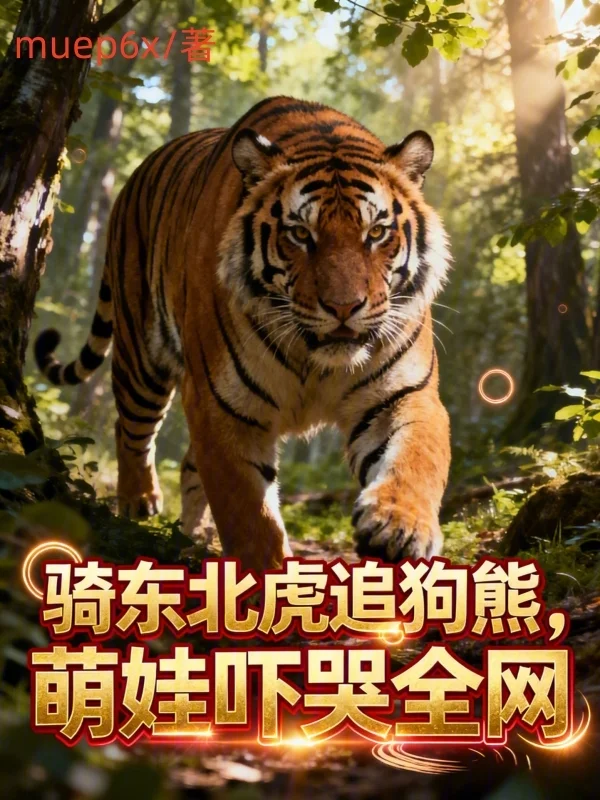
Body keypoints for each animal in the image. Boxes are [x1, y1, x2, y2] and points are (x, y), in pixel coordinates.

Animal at [35, 96, 451, 572]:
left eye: (376, 232)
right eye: (300, 234)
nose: (343, 308)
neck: (317, 359)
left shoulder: (402, 393)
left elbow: (416, 459)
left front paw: (398, 528)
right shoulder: (222, 406)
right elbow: (250, 516)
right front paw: (264, 579)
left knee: (188, 465)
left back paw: (192, 538)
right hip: (141, 359)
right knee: (132, 430)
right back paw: (139, 503)